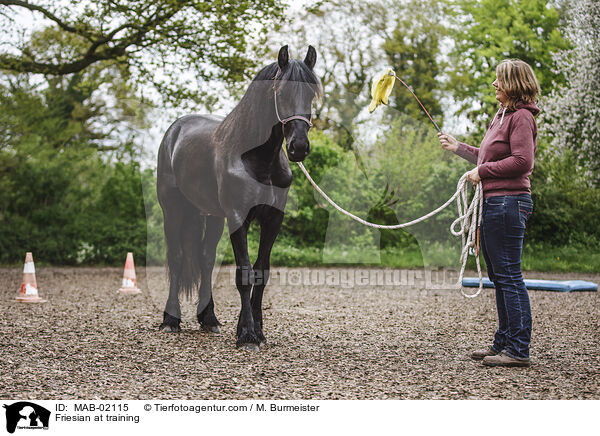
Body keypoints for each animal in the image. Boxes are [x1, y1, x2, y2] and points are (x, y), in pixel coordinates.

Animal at [157, 46, 322, 350]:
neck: (256, 158)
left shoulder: (273, 220)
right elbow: (244, 274)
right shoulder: (238, 218)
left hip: (212, 216)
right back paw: (170, 320)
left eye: (311, 94)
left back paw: (208, 319)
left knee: (206, 259)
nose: (299, 147)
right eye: (281, 92)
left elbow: (261, 272)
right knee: (176, 257)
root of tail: (175, 131)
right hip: (172, 209)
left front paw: (258, 329)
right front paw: (246, 334)